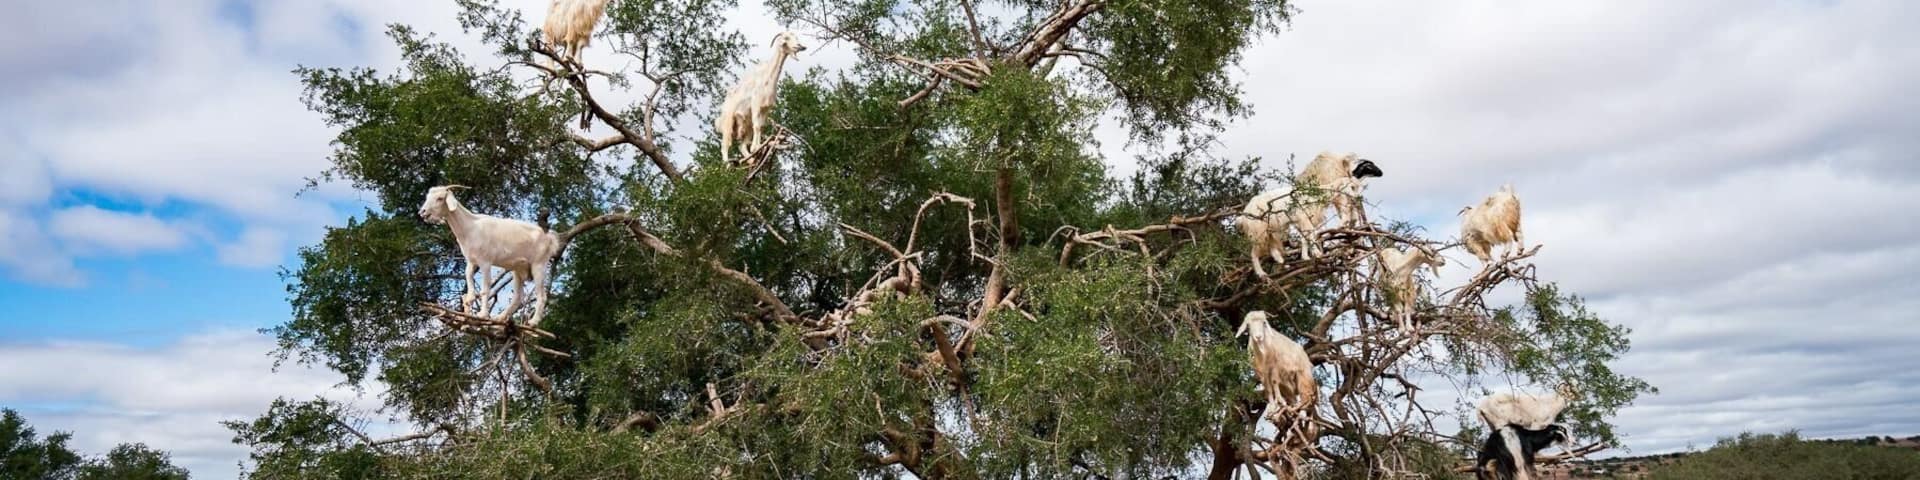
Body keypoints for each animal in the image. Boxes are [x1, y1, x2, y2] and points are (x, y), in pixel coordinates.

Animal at [418, 185, 563, 327]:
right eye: (428, 197)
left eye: (440, 198)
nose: (422, 212)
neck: (470, 228)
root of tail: (550, 239)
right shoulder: (471, 261)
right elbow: (468, 275)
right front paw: (470, 298)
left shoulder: (485, 262)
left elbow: (485, 288)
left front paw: (482, 314)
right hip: (518, 269)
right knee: (518, 297)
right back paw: (500, 318)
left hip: (539, 265)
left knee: (542, 295)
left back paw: (533, 322)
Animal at [718, 32, 807, 165]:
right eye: (786, 38)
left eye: (796, 37)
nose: (800, 46)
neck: (768, 77)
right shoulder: (756, 104)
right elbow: (757, 126)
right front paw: (755, 148)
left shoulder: (766, 108)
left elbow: (761, 126)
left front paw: (757, 148)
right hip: (728, 122)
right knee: (725, 145)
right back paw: (727, 165)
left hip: (745, 123)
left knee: (741, 145)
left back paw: (751, 160)